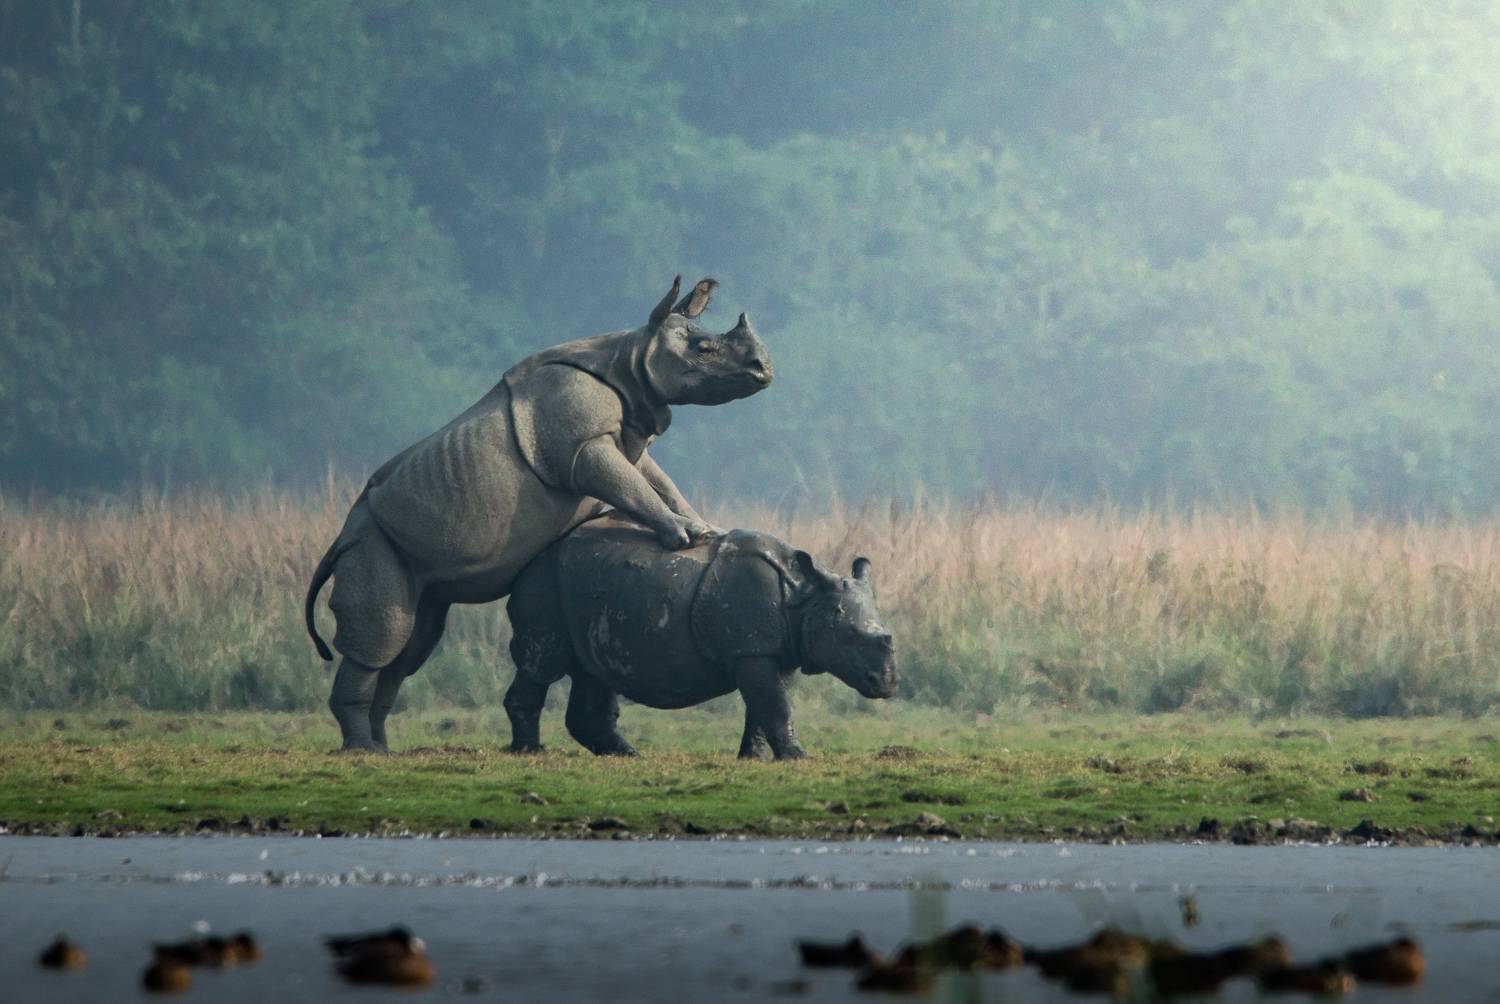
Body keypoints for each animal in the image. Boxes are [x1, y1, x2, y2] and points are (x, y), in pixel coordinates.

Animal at [304, 277, 772, 751]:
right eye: (703, 348)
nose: (764, 368)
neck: (630, 360)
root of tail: (340, 537)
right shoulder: (584, 444)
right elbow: (632, 485)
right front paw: (684, 537)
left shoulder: (624, 439)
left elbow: (655, 481)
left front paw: (706, 527)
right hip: (370, 540)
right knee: (383, 640)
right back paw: (362, 750)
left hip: (398, 552)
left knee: (409, 646)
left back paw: (382, 750)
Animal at [503, 514, 898, 760]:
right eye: (850, 635)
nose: (887, 683)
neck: (805, 595)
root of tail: (529, 561)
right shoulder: (752, 649)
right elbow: (775, 705)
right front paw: (799, 757)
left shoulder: (774, 650)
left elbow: (766, 705)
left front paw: (753, 759)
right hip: (544, 582)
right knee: (543, 661)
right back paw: (530, 752)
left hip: (586, 590)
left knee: (593, 670)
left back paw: (627, 755)